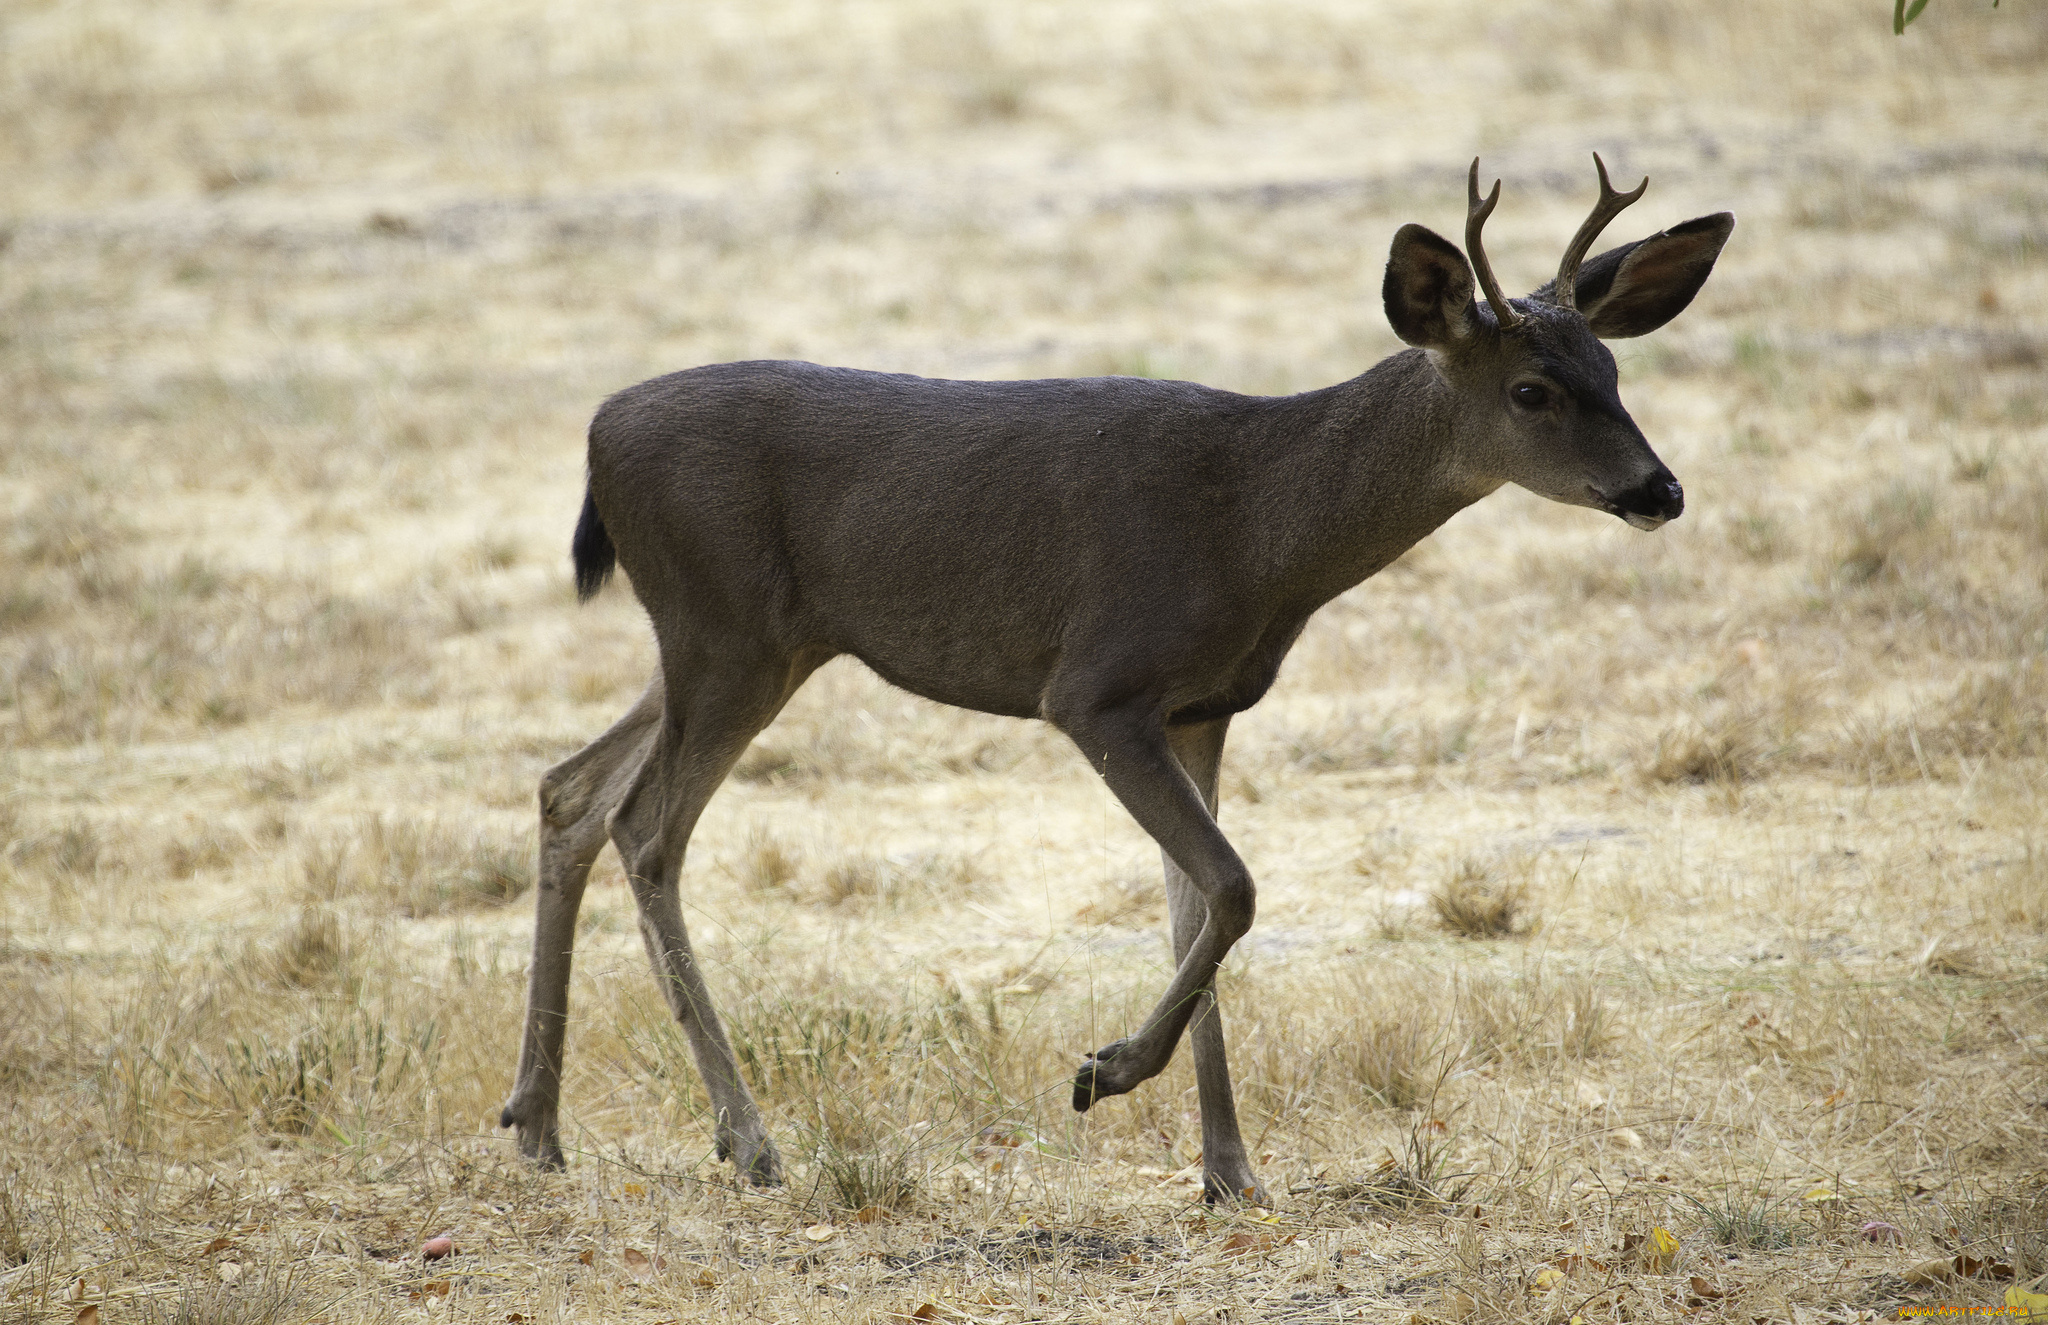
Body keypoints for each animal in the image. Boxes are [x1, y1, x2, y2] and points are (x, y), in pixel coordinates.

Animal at [495, 152, 1728, 1204]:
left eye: (1612, 369)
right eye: (1529, 390)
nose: (1659, 489)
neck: (1262, 530)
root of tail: (596, 434)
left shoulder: (1202, 707)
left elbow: (1193, 907)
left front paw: (1231, 1171)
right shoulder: (1096, 686)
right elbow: (1233, 886)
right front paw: (1106, 1071)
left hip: (733, 639)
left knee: (570, 788)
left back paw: (538, 1125)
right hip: (727, 628)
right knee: (647, 828)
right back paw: (745, 1139)